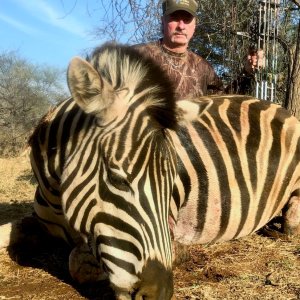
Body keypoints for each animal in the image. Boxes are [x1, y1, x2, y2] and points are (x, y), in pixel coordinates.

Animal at [0, 42, 300, 300]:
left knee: (291, 221)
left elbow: (78, 261)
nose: (159, 292)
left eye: (173, 185)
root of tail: (279, 107)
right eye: (117, 178)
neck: (57, 197)